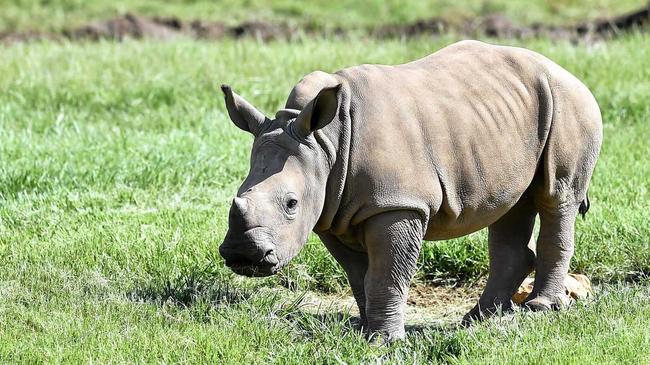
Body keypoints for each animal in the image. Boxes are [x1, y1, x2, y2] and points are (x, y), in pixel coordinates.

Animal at [219, 40, 604, 342]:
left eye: (291, 203)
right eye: (236, 198)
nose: (244, 254)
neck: (325, 143)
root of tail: (566, 71)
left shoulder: (396, 205)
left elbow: (387, 273)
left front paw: (384, 341)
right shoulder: (331, 210)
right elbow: (360, 275)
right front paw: (366, 331)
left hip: (569, 103)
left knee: (557, 196)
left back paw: (539, 309)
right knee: (511, 202)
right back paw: (478, 319)